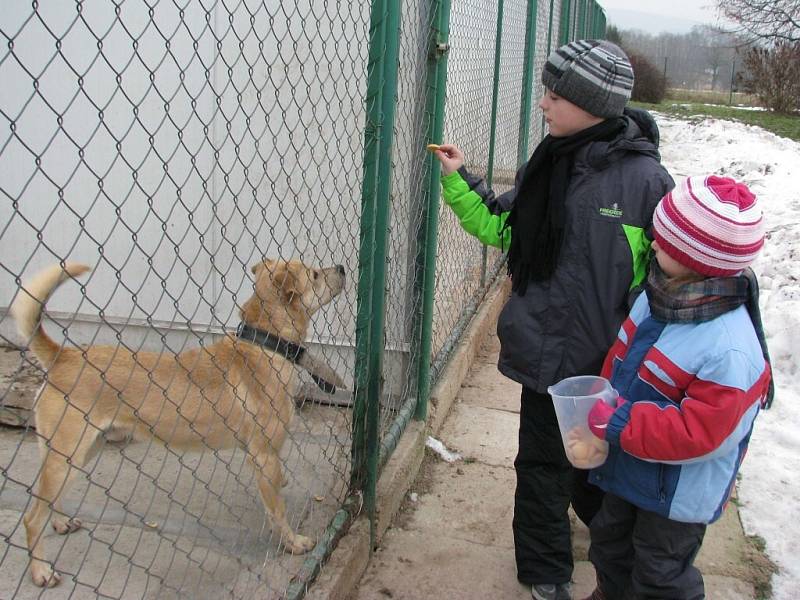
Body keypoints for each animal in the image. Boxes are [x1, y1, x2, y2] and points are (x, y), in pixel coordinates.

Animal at [10, 258, 344, 584]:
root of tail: (62, 356)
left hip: (76, 454)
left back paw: (60, 522)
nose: (341, 269)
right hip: (67, 457)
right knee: (31, 518)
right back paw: (41, 571)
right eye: (315, 274)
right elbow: (278, 509)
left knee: (47, 501)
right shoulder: (263, 456)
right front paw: (293, 543)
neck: (264, 343)